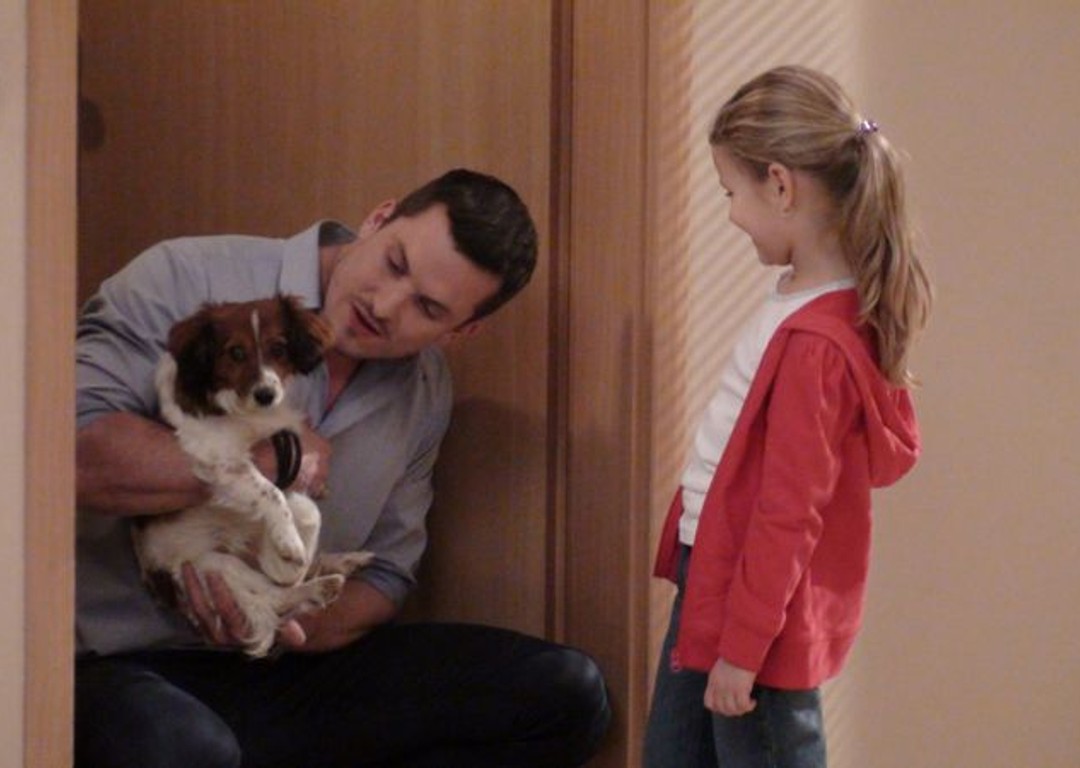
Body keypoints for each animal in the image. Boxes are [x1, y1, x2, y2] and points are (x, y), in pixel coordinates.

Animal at [132, 294, 374, 657]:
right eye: (235, 352)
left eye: (278, 349)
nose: (266, 395)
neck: (242, 407)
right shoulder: (219, 456)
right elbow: (271, 491)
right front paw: (289, 541)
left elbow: (299, 505)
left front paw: (295, 539)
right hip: (214, 567)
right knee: (276, 595)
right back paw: (317, 582)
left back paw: (338, 564)